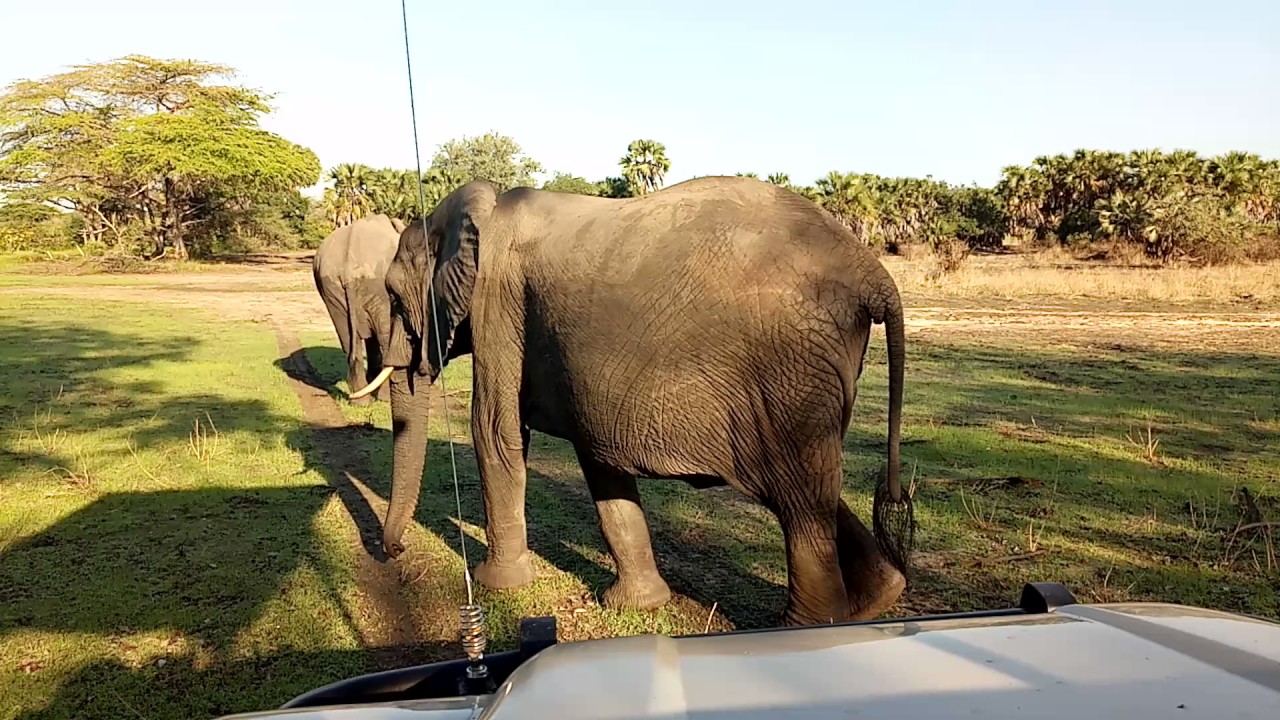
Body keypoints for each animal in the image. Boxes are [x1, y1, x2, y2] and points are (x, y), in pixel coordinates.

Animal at [312, 213, 406, 405]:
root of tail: (349, 264)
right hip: (377, 285)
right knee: (385, 339)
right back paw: (384, 400)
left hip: (331, 288)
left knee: (348, 340)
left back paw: (360, 402)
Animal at [351, 175, 914, 627]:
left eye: (395, 297)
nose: (393, 552)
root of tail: (874, 276)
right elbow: (600, 459)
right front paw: (636, 606)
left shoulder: (498, 302)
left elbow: (495, 431)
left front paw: (497, 586)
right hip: (811, 379)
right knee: (815, 488)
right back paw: (875, 602)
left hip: (788, 373)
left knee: (799, 503)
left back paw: (805, 628)